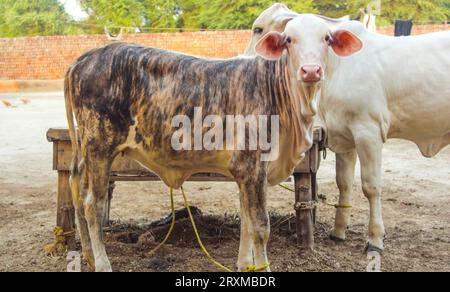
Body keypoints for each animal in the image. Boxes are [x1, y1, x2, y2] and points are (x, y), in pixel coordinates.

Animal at [253, 13, 450, 252]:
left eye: (327, 38)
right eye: (289, 39)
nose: (311, 71)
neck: (337, 69)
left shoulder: (368, 132)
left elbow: (371, 186)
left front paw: (375, 239)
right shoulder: (345, 138)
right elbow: (344, 182)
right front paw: (338, 231)